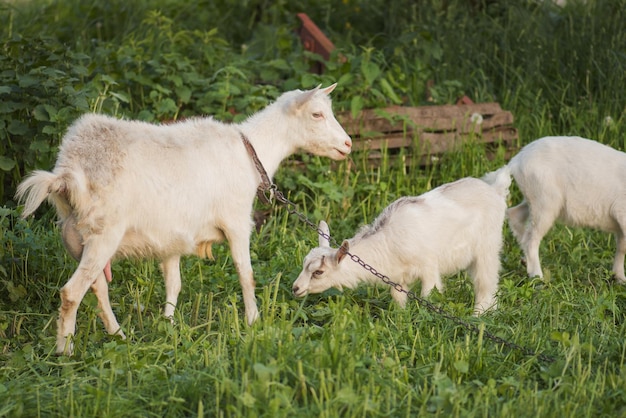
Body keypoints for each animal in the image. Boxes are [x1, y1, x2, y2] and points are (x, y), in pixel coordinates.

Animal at [14, 83, 352, 354]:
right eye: (317, 115)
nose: (348, 144)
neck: (250, 152)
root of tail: (67, 174)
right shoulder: (236, 220)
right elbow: (246, 273)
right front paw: (254, 321)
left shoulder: (172, 236)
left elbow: (174, 282)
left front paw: (168, 324)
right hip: (103, 233)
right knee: (71, 292)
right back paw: (66, 352)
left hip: (75, 237)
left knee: (97, 288)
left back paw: (119, 335)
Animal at [290, 167, 510, 314]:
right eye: (304, 264)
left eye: (319, 272)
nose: (295, 289)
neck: (389, 241)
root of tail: (496, 189)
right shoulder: (398, 278)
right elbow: (398, 299)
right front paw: (400, 320)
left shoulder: (429, 267)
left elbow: (429, 296)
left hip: (488, 246)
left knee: (486, 281)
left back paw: (479, 314)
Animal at [504, 136, 624, 280]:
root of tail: (516, 160)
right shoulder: (621, 211)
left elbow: (621, 248)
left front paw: (619, 277)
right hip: (545, 201)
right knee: (530, 239)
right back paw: (538, 277)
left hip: (534, 198)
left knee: (514, 214)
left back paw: (525, 262)